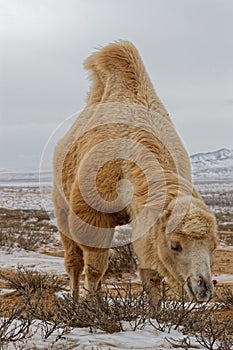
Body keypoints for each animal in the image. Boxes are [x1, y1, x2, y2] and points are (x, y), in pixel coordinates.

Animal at [52, 40, 217, 304]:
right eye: (175, 245)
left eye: (213, 246)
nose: (203, 288)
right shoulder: (91, 212)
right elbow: (96, 266)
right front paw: (90, 307)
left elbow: (151, 274)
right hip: (61, 203)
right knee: (74, 261)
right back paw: (76, 300)